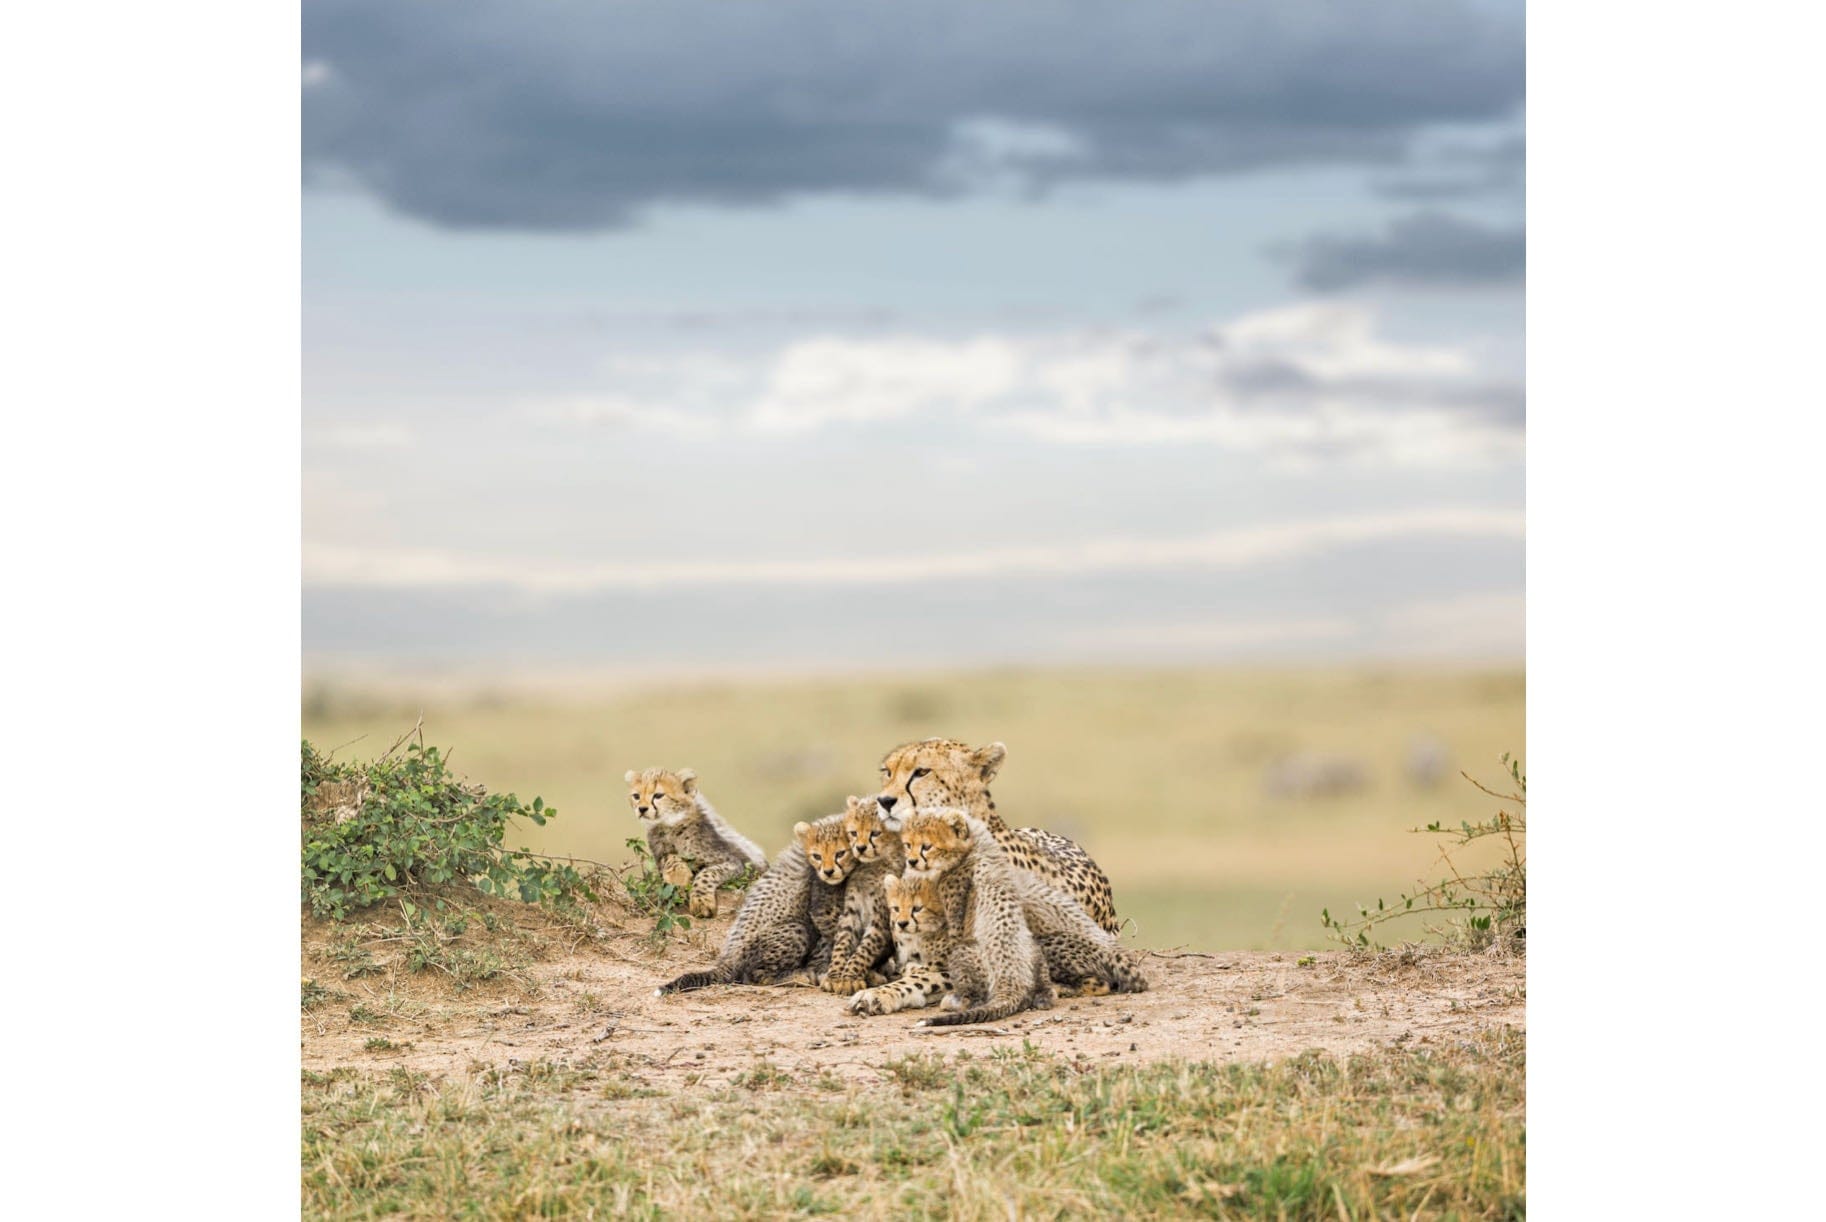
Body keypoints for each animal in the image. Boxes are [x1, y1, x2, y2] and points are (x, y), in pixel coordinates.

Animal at [625, 767, 768, 919]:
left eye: (658, 795)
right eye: (636, 796)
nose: (642, 809)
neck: (669, 824)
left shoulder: (734, 863)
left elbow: (708, 873)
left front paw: (701, 902)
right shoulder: (659, 855)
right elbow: (670, 857)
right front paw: (678, 876)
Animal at [897, 807, 1054, 1027]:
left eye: (927, 846)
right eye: (908, 844)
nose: (911, 861)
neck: (974, 844)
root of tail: (1011, 980)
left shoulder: (954, 925)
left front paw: (915, 968)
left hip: (964, 953)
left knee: (976, 996)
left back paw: (953, 1001)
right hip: (1034, 952)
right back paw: (1043, 997)